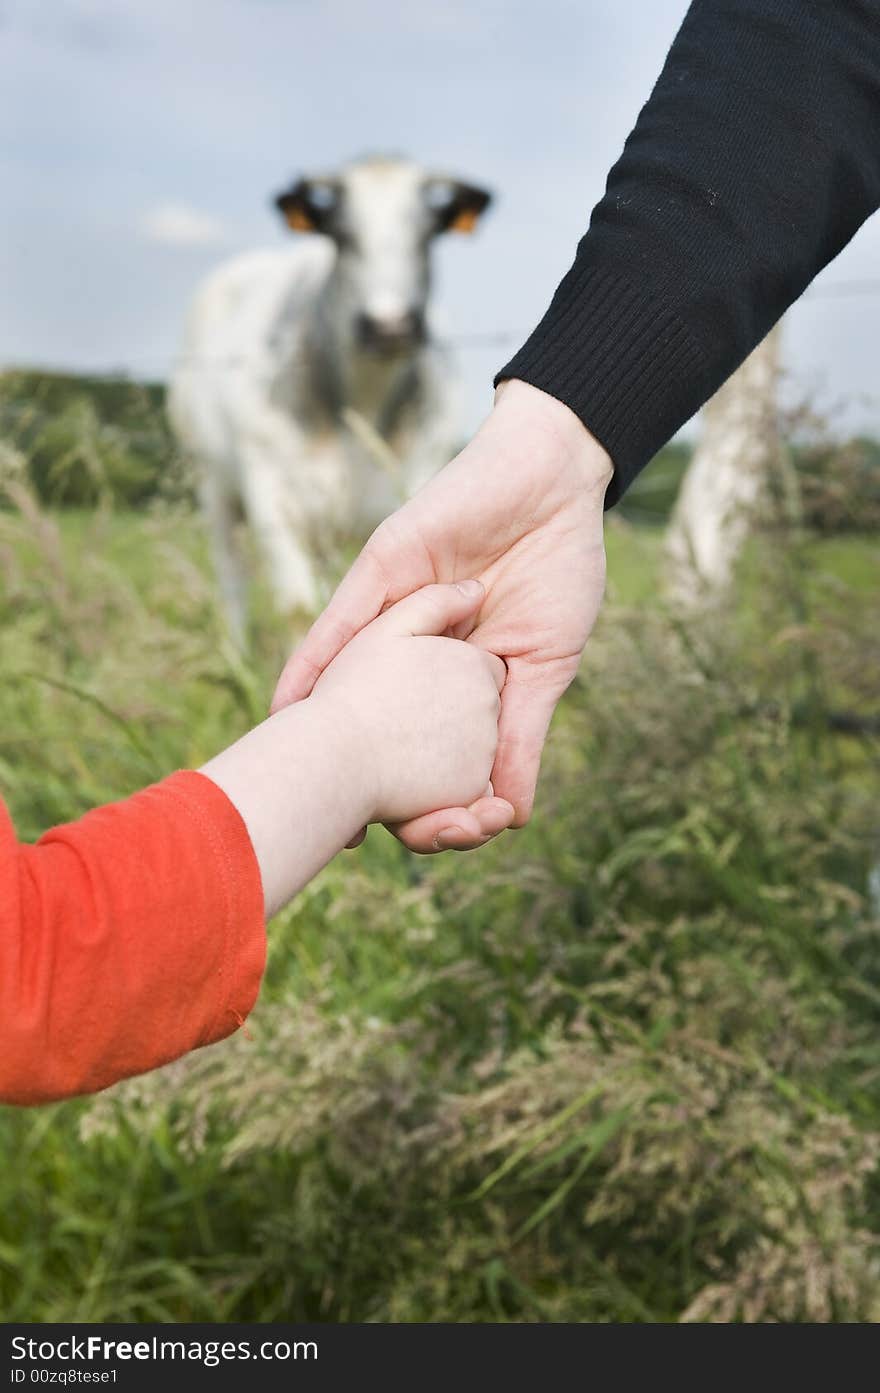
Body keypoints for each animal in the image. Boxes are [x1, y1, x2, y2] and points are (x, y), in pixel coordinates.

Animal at [168, 153, 492, 637]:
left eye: (428, 236)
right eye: (343, 236)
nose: (390, 325)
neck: (363, 400)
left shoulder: (410, 480)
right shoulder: (272, 495)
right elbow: (299, 608)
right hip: (213, 481)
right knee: (232, 577)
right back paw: (235, 646)